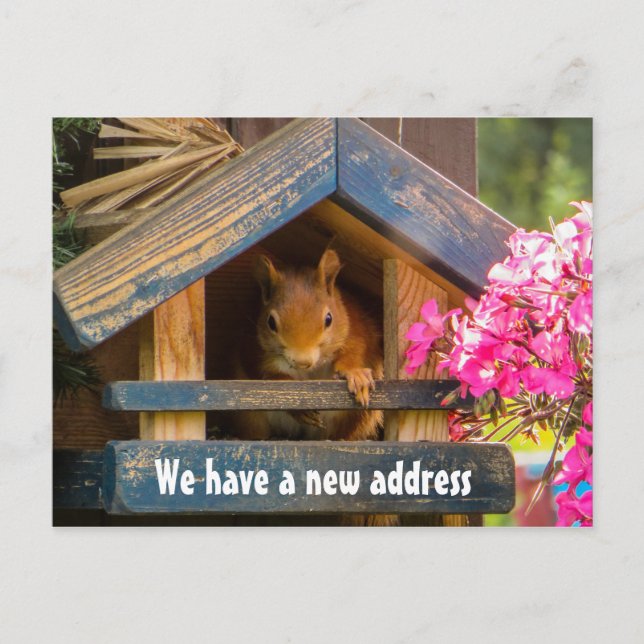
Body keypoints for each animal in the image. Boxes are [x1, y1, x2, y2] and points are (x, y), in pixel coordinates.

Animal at [231, 248, 384, 441]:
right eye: (270, 322)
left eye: (329, 318)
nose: (302, 362)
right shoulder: (252, 346)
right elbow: (263, 371)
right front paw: (298, 406)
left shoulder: (355, 328)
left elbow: (356, 350)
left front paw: (355, 374)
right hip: (250, 418)